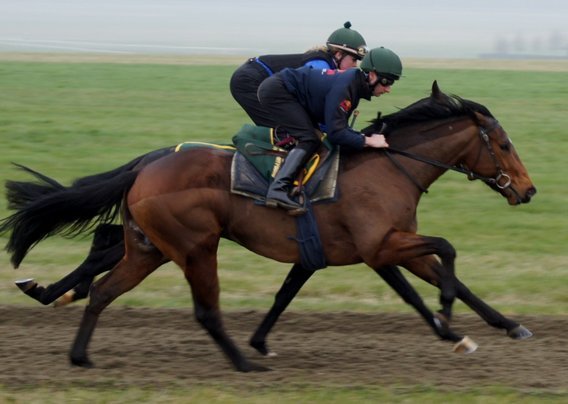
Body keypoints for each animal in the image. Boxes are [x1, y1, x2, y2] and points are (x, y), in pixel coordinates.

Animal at [0, 81, 536, 371]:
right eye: (504, 144)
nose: (528, 190)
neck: (391, 167)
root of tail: (146, 165)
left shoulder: (374, 246)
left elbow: (448, 277)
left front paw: (505, 326)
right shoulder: (380, 246)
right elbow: (442, 260)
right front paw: (447, 321)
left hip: (151, 246)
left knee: (105, 279)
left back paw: (73, 340)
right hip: (194, 247)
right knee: (199, 308)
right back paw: (240, 361)